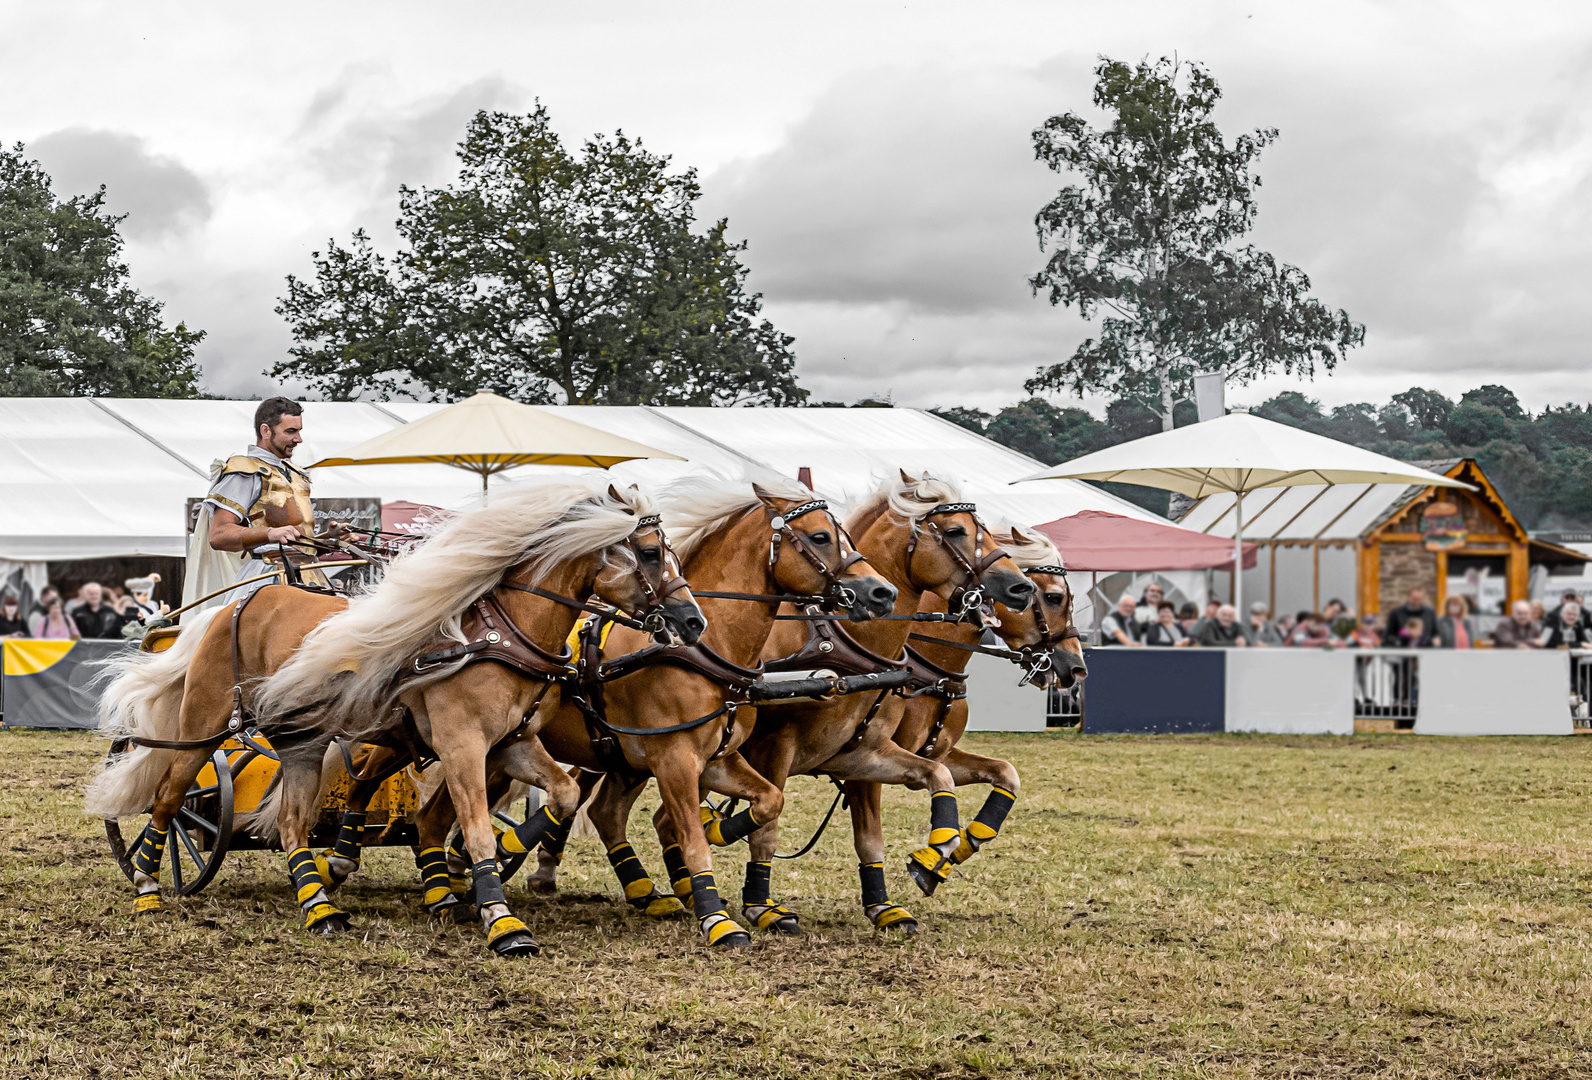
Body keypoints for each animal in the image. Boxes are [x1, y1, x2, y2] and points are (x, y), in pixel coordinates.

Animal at [88, 481, 703, 955]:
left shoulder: (513, 743)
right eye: (651, 552)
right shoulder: (461, 745)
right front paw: (502, 922)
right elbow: (475, 826)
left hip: (302, 741)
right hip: (202, 725)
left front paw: (488, 870)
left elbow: (563, 796)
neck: (498, 635)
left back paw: (319, 906)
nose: (692, 621)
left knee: (291, 822)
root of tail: (229, 608)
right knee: (169, 796)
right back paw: (147, 885)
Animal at [407, 477, 910, 949]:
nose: (882, 592)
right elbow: (691, 837)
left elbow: (768, 803)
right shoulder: (676, 761)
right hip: (485, 745)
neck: (708, 648)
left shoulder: (718, 759)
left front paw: (720, 834)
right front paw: (717, 916)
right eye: (821, 537)